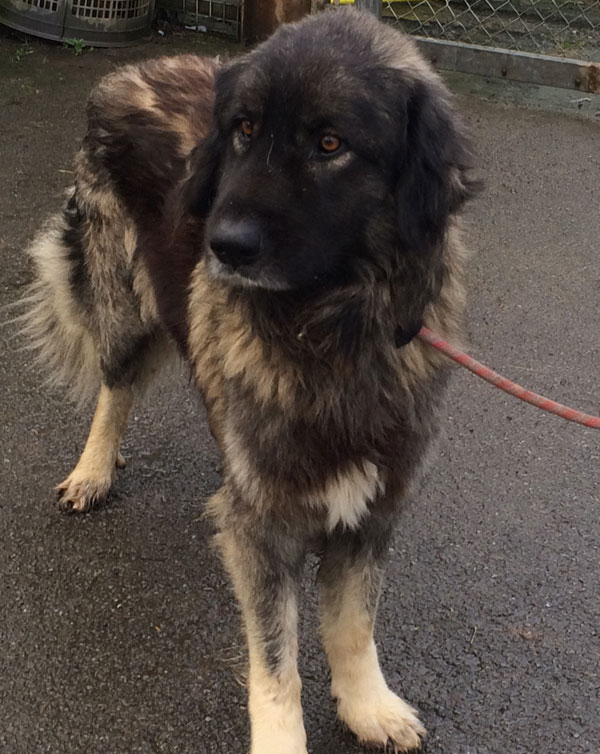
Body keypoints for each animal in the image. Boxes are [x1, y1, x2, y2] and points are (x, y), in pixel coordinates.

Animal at [24, 7, 478, 752]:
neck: (329, 326)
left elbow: (353, 625)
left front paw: (366, 704)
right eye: (242, 130)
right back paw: (94, 468)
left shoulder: (372, 506)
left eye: (330, 143)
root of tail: (131, 69)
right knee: (116, 387)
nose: (223, 247)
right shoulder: (263, 531)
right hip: (126, 307)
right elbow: (276, 661)